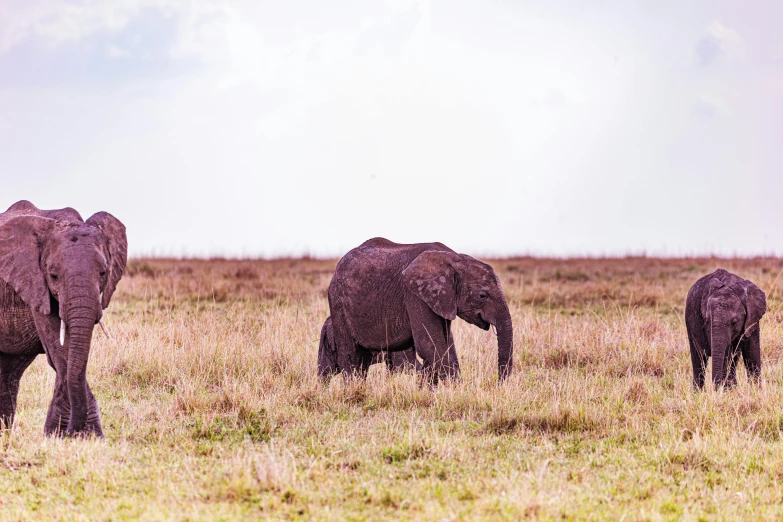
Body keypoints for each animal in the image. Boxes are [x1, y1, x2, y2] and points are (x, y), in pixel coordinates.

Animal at [0, 199, 127, 434]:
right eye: (53, 276)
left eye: (103, 273)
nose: (71, 431)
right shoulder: (35, 285)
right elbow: (60, 352)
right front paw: (67, 434)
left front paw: (80, 435)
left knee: (10, 371)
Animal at [322, 237, 512, 382]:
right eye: (482, 295)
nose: (498, 385)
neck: (454, 258)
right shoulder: (414, 295)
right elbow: (429, 344)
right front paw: (456, 391)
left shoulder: (440, 300)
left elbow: (443, 344)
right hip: (338, 302)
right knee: (350, 356)